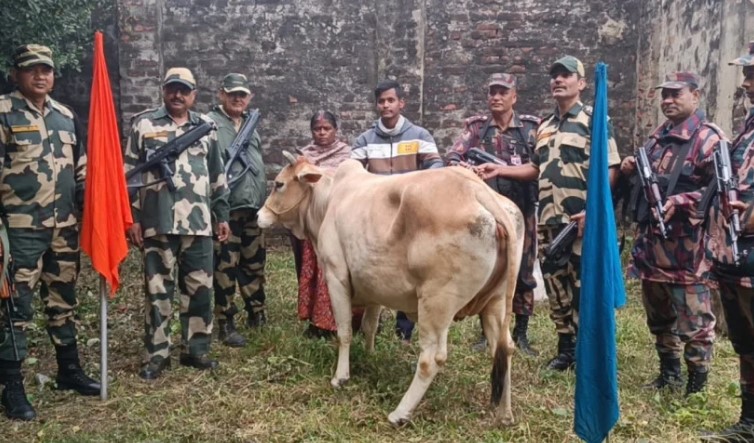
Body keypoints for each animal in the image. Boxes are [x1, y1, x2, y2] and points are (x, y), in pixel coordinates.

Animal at [256, 153, 520, 426]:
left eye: (279, 184)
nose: (258, 215)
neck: (328, 200)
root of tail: (478, 190)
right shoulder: (373, 287)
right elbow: (369, 326)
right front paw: (369, 356)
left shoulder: (336, 277)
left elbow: (344, 332)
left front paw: (341, 377)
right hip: (496, 303)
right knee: (504, 349)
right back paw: (505, 414)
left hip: (436, 303)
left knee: (431, 359)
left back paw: (400, 413)